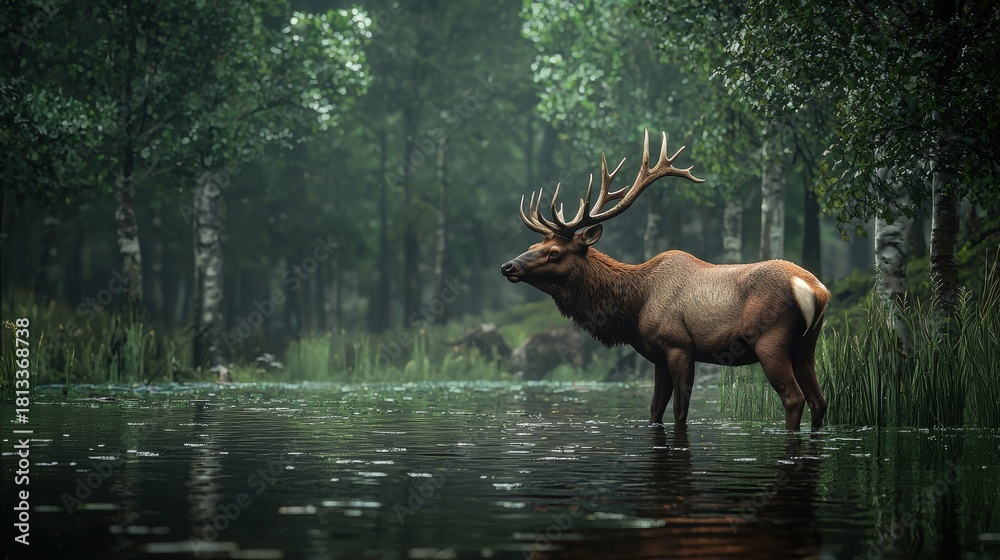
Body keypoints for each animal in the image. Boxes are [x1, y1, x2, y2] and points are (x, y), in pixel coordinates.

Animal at [501, 129, 829, 431]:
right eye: (534, 245)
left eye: (554, 252)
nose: (507, 266)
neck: (635, 305)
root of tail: (816, 290)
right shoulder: (657, 355)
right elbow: (655, 409)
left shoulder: (678, 346)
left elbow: (680, 412)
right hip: (806, 345)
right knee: (819, 400)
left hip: (769, 340)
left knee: (794, 398)